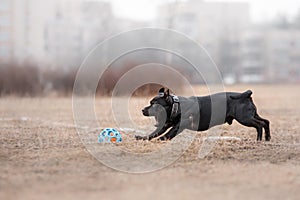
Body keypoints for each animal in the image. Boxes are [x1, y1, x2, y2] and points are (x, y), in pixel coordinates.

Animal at [135, 88, 270, 141]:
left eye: (154, 104)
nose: (143, 110)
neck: (176, 106)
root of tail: (247, 94)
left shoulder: (178, 127)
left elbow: (167, 135)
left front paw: (160, 140)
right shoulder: (165, 125)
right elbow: (153, 133)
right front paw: (142, 138)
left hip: (244, 118)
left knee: (259, 124)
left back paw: (259, 139)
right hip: (252, 115)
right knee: (266, 122)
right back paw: (267, 138)